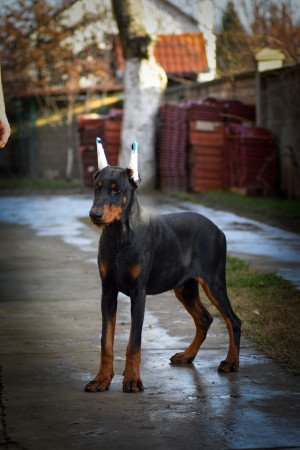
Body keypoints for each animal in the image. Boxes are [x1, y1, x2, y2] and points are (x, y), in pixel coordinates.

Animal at [84, 139, 241, 392]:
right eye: (97, 187)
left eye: (117, 189)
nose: (94, 214)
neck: (120, 236)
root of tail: (218, 229)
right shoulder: (108, 290)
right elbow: (105, 341)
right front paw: (102, 379)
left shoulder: (138, 293)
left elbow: (134, 342)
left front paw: (132, 380)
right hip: (184, 288)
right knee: (205, 319)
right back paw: (187, 355)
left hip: (213, 282)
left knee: (233, 321)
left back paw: (230, 362)